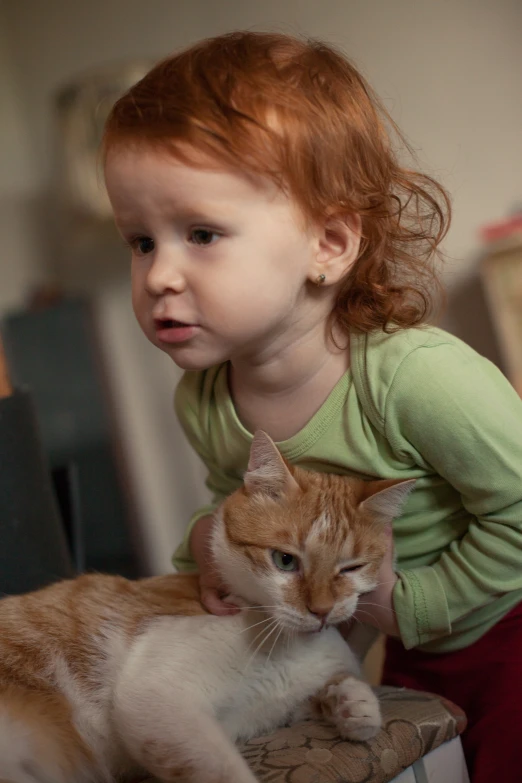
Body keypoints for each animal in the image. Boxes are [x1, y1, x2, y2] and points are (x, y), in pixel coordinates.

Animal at [0, 432, 412, 783]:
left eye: (351, 568)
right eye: (284, 561)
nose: (322, 610)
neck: (285, 640)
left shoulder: (282, 705)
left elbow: (338, 687)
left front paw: (355, 705)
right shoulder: (158, 700)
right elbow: (223, 769)